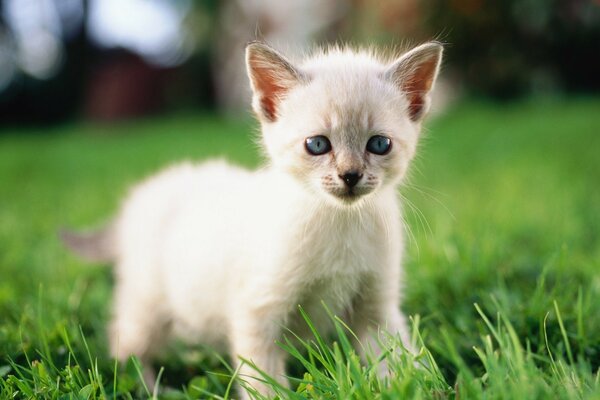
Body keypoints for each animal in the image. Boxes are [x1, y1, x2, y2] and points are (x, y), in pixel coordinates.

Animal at [64, 40, 440, 396]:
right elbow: (265, 382)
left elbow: (401, 359)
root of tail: (141, 197)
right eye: (318, 145)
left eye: (379, 145)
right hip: (148, 304)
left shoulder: (377, 308)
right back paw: (154, 388)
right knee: (125, 345)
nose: (350, 176)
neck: (340, 224)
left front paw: (422, 387)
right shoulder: (258, 310)